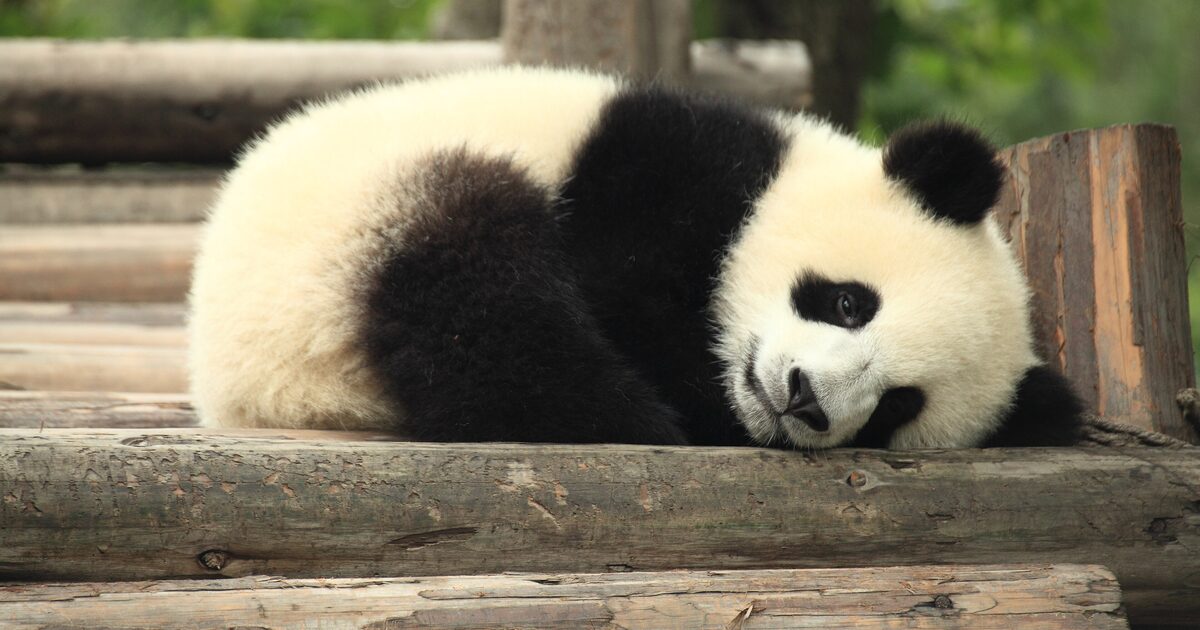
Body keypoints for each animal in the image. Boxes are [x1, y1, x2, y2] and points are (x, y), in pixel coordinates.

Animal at [188, 66, 1085, 449]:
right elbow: (621, 289)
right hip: (346, 235)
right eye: (848, 301)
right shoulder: (661, 170)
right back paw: (629, 416)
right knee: (480, 297)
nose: (803, 401)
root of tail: (229, 384)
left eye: (900, 405)